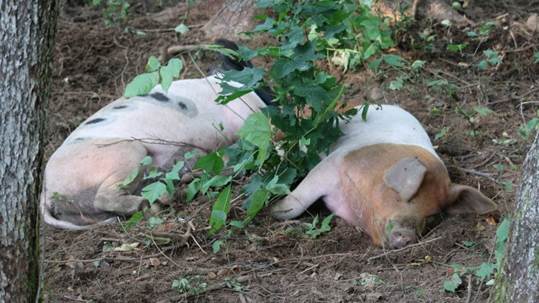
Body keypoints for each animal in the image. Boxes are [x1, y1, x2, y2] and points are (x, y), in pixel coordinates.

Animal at [274, 105, 498, 249]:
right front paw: (273, 212)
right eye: (412, 196)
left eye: (433, 215)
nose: (407, 236)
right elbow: (297, 201)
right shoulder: (334, 163)